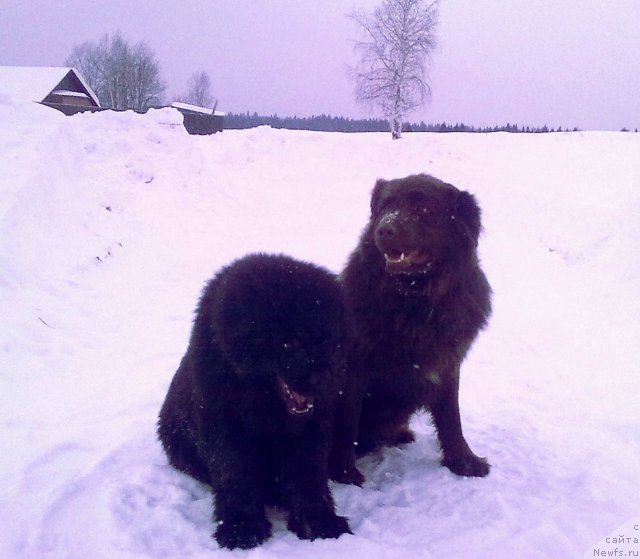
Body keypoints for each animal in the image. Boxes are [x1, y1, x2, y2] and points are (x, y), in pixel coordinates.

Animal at [159, 255, 350, 552]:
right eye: (289, 342)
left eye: (326, 339)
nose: (323, 378)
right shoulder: (225, 424)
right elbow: (235, 473)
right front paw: (242, 529)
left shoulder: (311, 428)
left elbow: (308, 473)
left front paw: (319, 522)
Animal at [328, 174, 492, 486]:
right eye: (386, 206)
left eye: (422, 209)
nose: (385, 229)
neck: (414, 300)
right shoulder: (352, 369)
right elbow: (346, 422)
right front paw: (345, 475)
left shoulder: (447, 363)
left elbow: (451, 416)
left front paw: (463, 461)